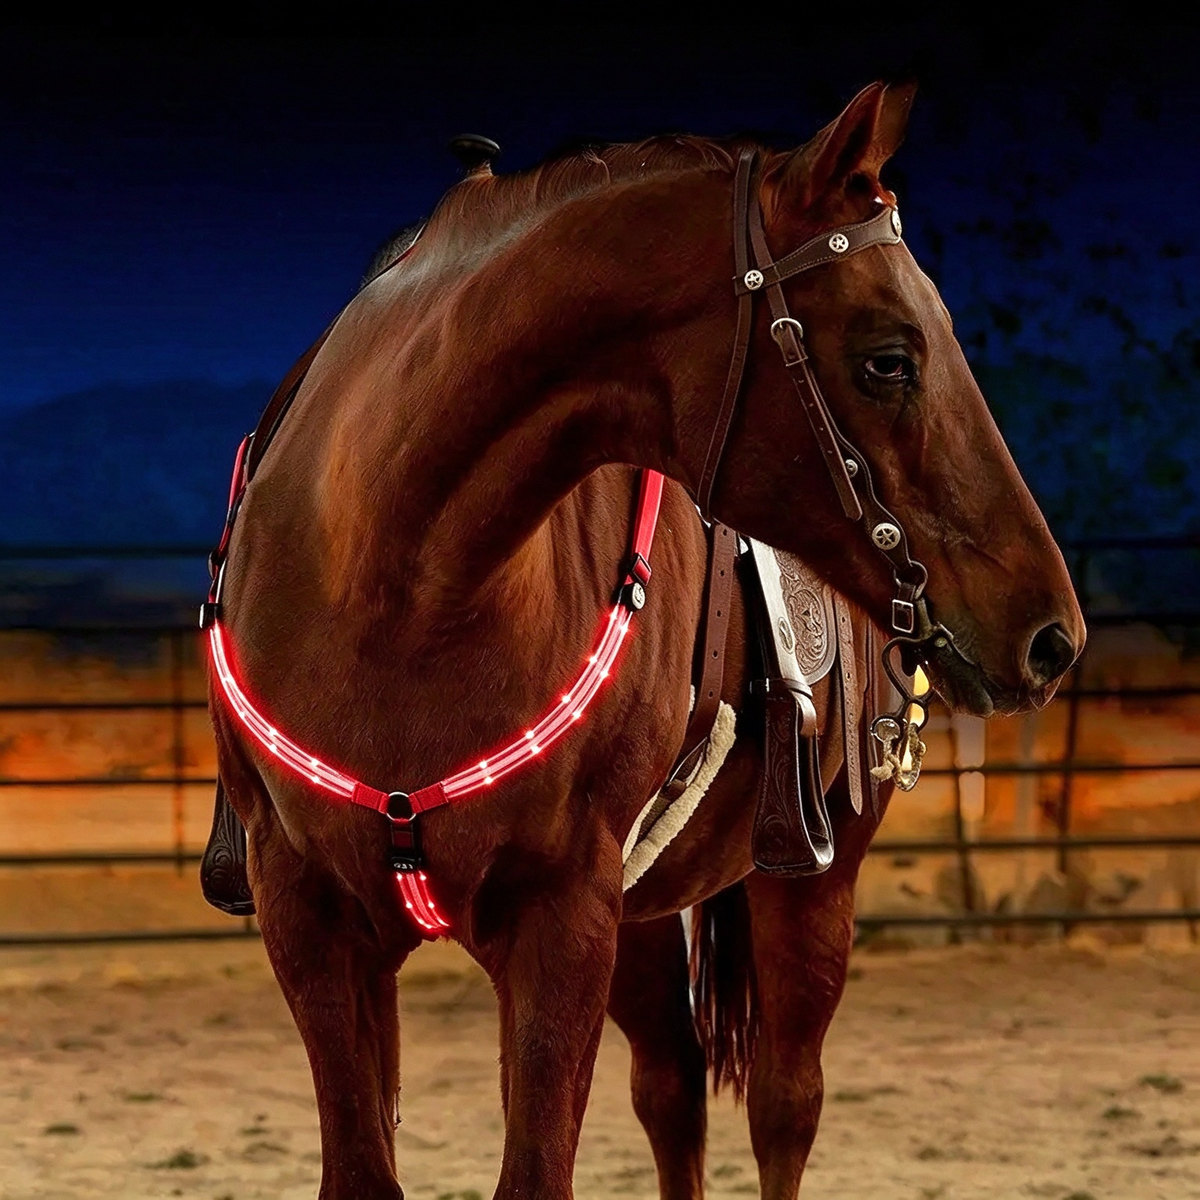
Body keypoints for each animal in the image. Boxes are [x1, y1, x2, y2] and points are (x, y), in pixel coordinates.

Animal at [207, 81, 1084, 1199]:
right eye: (890, 358)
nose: (1051, 635)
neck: (394, 589)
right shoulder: (310, 916)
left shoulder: (562, 918)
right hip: (640, 919)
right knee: (672, 1090)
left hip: (808, 885)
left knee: (784, 1105)